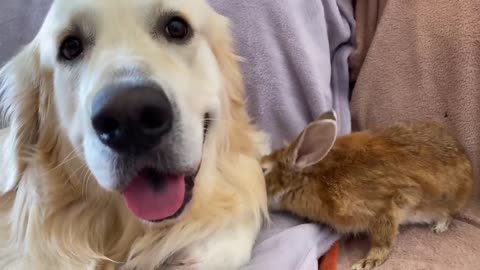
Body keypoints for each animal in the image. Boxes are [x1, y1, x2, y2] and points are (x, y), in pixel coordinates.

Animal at [260, 110, 474, 270]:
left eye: (263, 169)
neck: (310, 178)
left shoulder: (389, 204)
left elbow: (383, 240)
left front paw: (367, 261)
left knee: (448, 214)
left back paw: (440, 227)